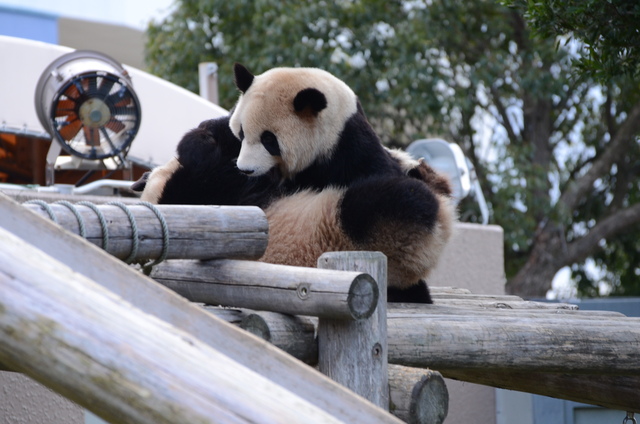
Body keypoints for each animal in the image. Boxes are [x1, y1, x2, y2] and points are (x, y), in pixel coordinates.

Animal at [132, 63, 458, 302]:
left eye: (269, 140)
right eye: (242, 133)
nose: (246, 169)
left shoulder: (352, 152)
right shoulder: (202, 189)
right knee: (391, 205)